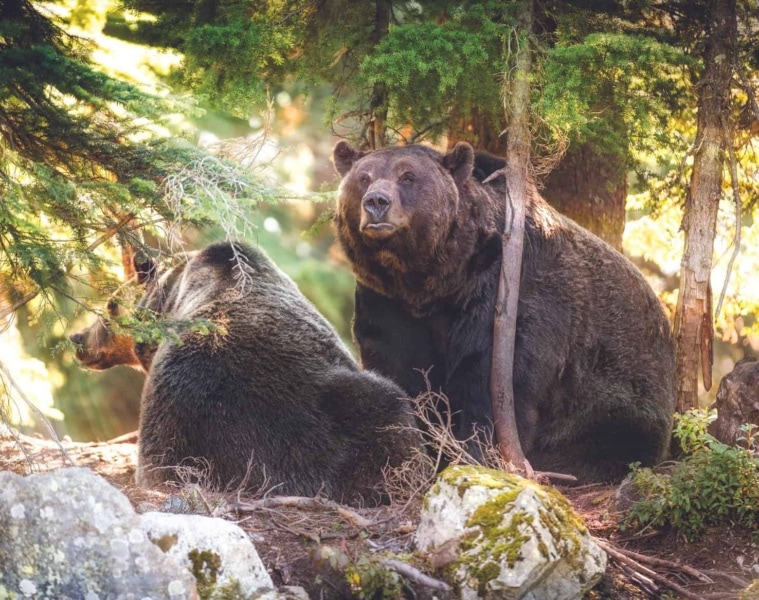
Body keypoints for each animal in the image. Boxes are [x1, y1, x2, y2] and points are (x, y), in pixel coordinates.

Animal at [332, 141, 676, 483]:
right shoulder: (387, 303)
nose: (376, 201)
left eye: (407, 176)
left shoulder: (506, 293)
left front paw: (478, 453)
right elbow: (398, 369)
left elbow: (490, 380)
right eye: (363, 177)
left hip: (618, 389)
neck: (435, 282)